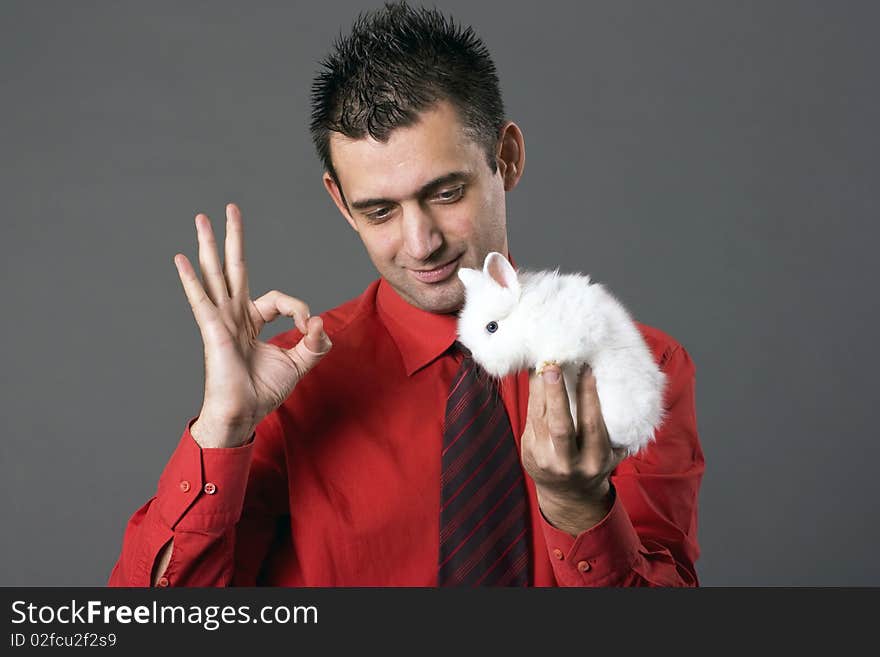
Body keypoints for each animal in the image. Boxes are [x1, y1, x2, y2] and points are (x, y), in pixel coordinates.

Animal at [458, 251, 664, 456]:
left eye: (492, 327)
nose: (478, 359)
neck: (527, 317)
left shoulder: (575, 332)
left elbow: (565, 349)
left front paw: (544, 364)